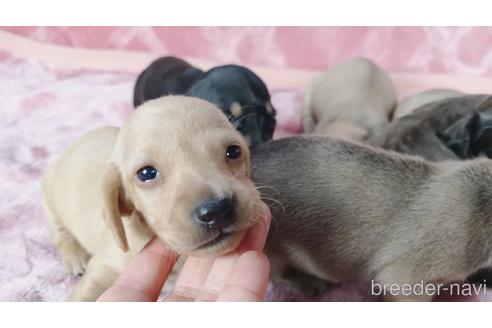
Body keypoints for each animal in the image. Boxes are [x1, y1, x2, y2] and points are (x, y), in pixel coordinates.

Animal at [44, 95, 264, 300]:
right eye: (146, 173)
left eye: (233, 151)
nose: (216, 210)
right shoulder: (104, 268)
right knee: (59, 232)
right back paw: (74, 255)